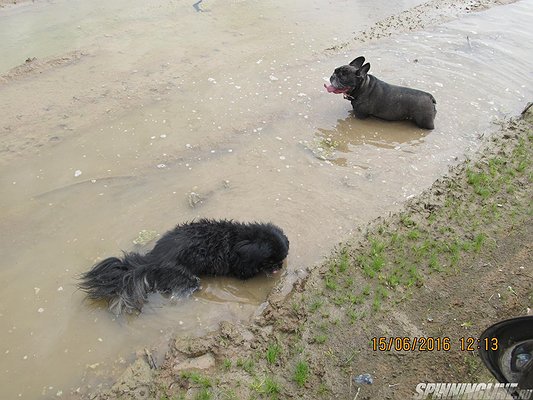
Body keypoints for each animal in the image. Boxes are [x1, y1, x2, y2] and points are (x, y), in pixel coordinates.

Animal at [79, 219, 288, 316]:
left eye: (281, 259)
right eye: (270, 262)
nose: (279, 266)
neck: (241, 240)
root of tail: (152, 260)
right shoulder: (241, 269)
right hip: (187, 278)